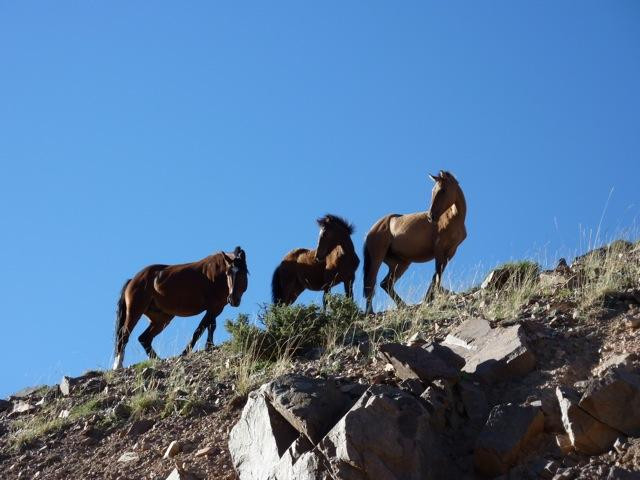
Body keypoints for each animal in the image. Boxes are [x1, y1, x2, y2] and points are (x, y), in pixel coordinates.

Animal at [112, 246, 248, 370]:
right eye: (228, 273)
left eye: (242, 272)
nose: (233, 299)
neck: (216, 276)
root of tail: (132, 280)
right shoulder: (214, 308)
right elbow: (200, 330)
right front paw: (185, 352)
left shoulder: (216, 308)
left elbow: (210, 327)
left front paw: (209, 346)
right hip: (135, 312)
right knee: (124, 336)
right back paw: (118, 366)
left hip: (161, 319)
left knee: (144, 339)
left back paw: (158, 360)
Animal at [364, 172, 464, 316]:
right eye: (433, 191)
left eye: (443, 190)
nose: (431, 216)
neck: (453, 218)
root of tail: (372, 229)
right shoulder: (439, 250)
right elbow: (437, 274)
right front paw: (432, 297)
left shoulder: (450, 252)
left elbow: (436, 275)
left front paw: (429, 297)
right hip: (376, 259)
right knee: (371, 283)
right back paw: (370, 312)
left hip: (400, 264)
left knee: (385, 284)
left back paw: (403, 305)